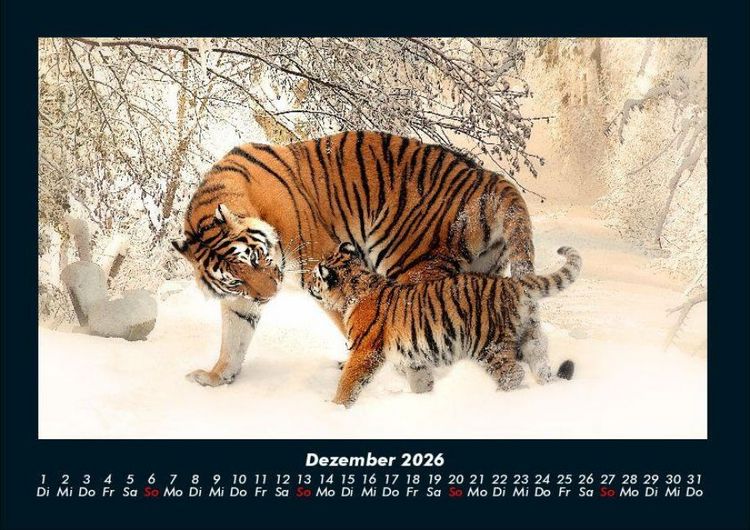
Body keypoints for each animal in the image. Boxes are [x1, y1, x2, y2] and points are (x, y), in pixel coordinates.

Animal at [172, 131, 550, 388]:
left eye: (254, 257)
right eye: (235, 278)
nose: (269, 295)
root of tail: (491, 179)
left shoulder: (321, 265)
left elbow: (354, 321)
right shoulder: (241, 299)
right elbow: (234, 336)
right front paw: (217, 376)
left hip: (414, 265)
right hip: (484, 273)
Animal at [309, 242, 581, 407]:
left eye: (315, 276)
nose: (309, 285)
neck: (354, 288)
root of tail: (511, 283)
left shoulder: (364, 351)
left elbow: (348, 381)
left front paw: (336, 408)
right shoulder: (414, 358)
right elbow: (421, 381)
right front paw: (424, 400)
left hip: (488, 345)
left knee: (513, 374)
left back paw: (497, 399)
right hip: (529, 338)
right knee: (540, 364)